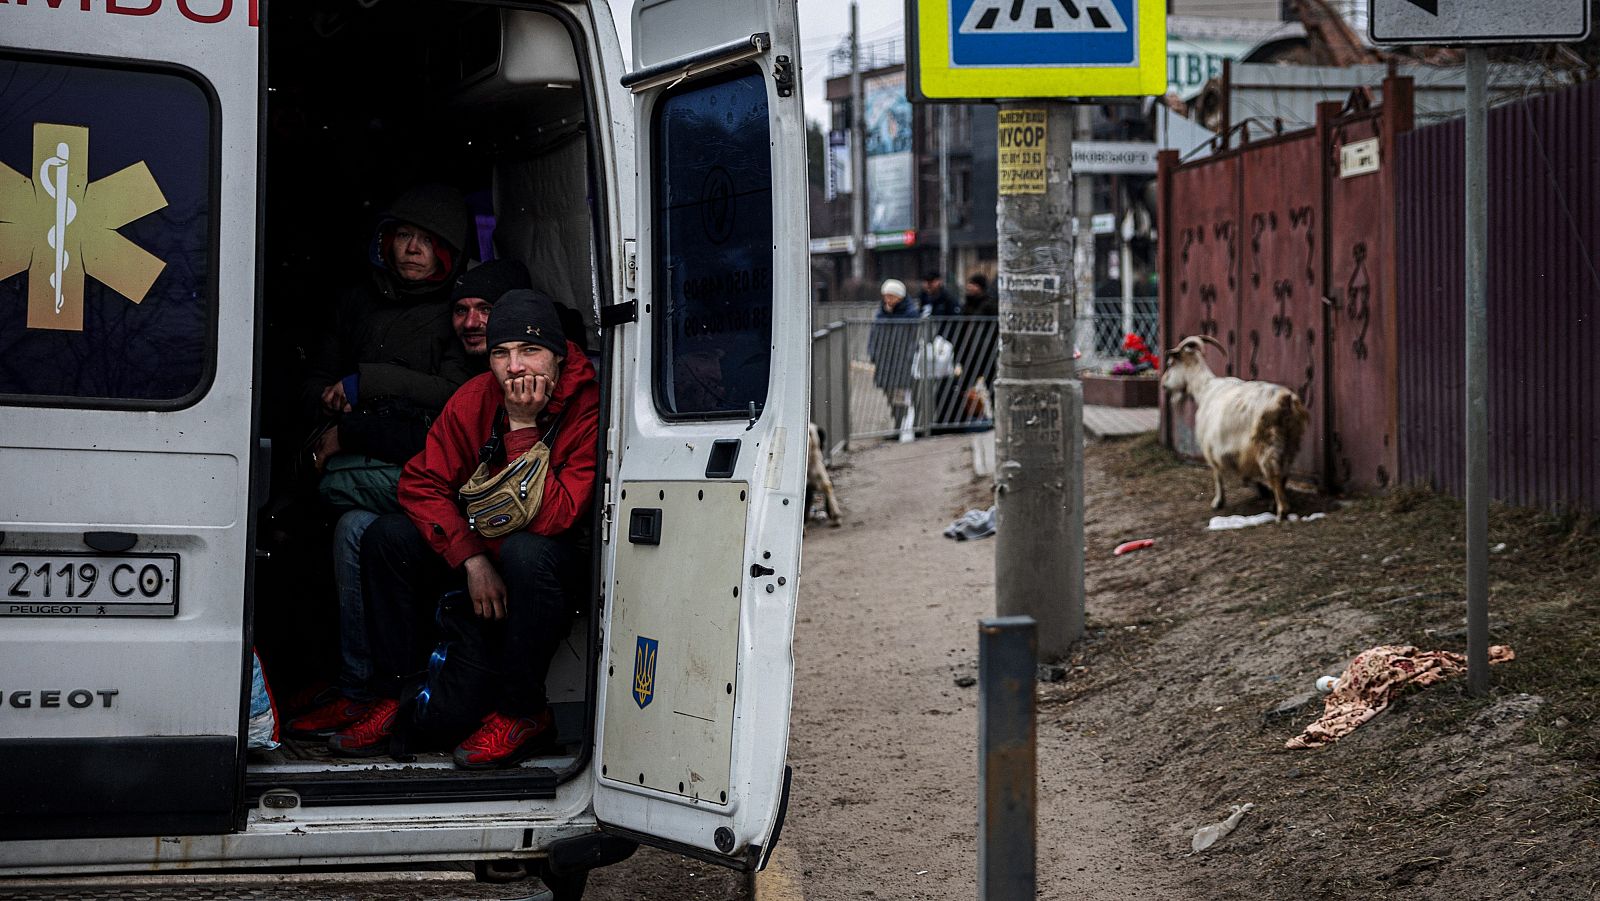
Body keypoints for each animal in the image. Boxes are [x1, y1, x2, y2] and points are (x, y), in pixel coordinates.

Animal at [1164, 336, 1312, 521]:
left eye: (1171, 363)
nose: (1164, 385)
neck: (1205, 389)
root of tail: (1286, 399)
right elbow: (1244, 476)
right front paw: (1262, 491)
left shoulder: (1216, 449)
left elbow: (1220, 474)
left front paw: (1218, 502)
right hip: (1291, 441)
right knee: (1284, 473)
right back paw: (1275, 502)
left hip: (1267, 445)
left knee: (1275, 474)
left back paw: (1281, 511)